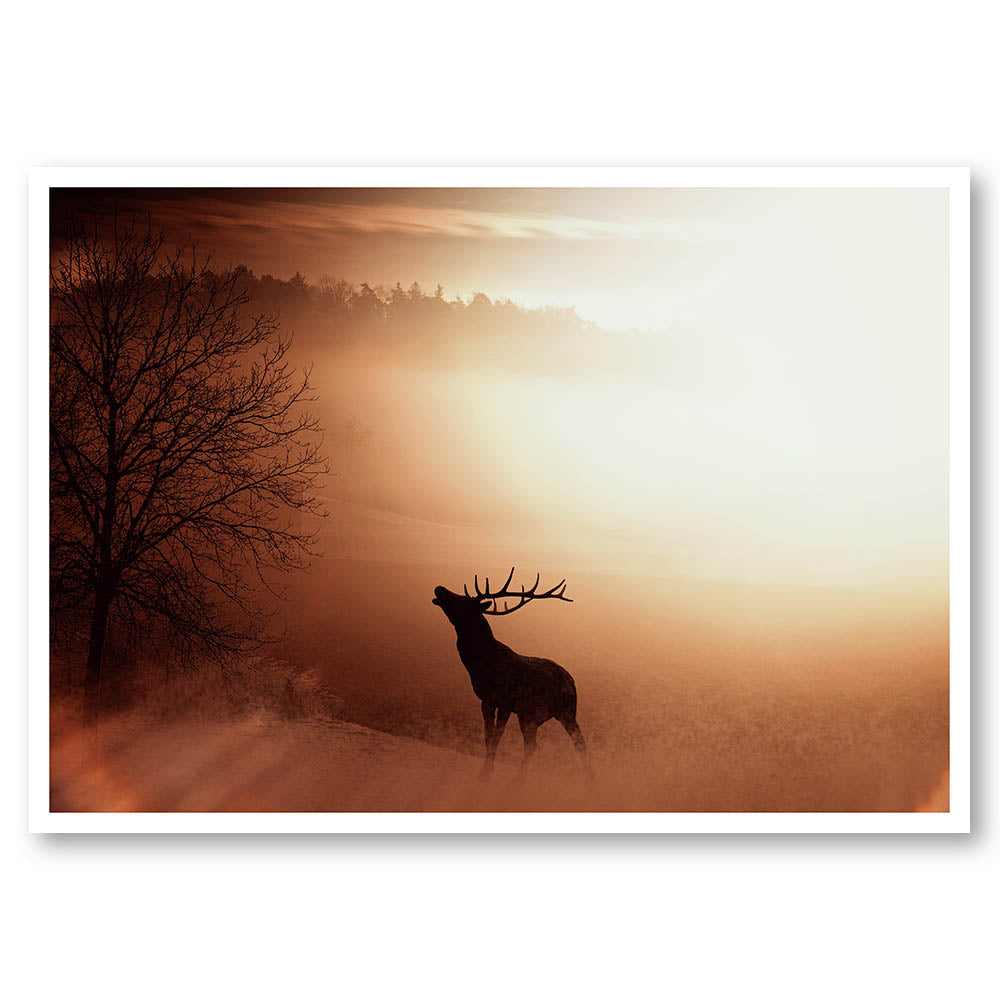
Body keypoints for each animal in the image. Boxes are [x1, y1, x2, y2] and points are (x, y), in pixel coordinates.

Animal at [432, 568, 590, 780]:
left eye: (463, 600)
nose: (439, 588)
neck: (479, 664)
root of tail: (571, 683)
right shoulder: (486, 700)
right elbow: (488, 736)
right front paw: (486, 769)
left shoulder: (506, 701)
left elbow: (497, 736)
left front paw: (486, 773)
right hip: (542, 714)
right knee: (553, 743)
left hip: (550, 712)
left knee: (557, 744)